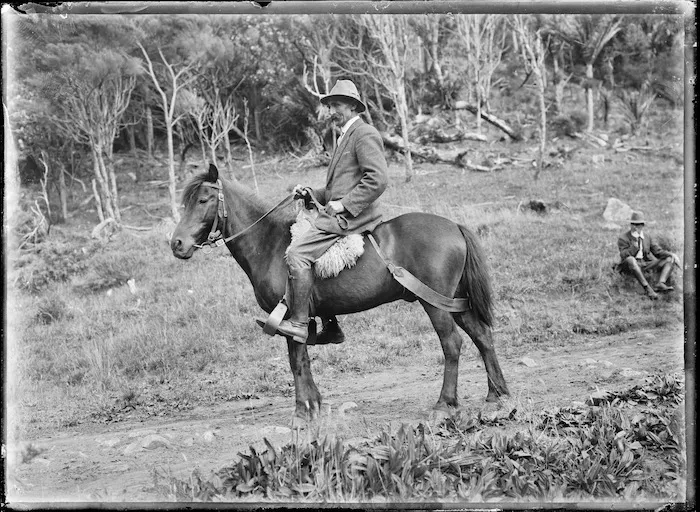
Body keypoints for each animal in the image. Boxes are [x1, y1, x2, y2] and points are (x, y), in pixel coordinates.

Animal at [170, 163, 509, 422]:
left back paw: (445, 404)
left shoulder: (291, 319)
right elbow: (303, 360)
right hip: (453, 302)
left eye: (203, 200)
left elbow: (296, 361)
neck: (270, 243)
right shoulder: (304, 320)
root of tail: (454, 226)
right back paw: (497, 396)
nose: (177, 244)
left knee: (452, 344)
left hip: (434, 304)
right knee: (482, 337)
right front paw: (313, 404)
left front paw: (303, 410)